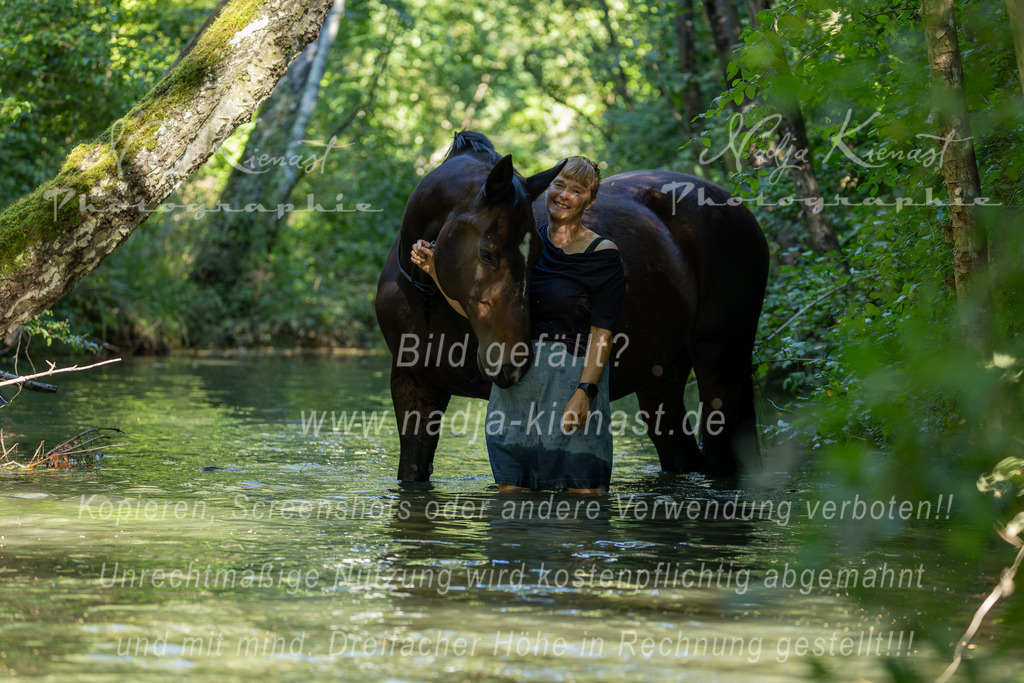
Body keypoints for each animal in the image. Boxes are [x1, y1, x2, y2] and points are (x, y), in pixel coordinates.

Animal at [374, 131, 769, 482]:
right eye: (486, 253)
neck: (426, 299)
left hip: (720, 364)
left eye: (538, 255)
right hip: (663, 375)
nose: (514, 364)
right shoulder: (413, 386)